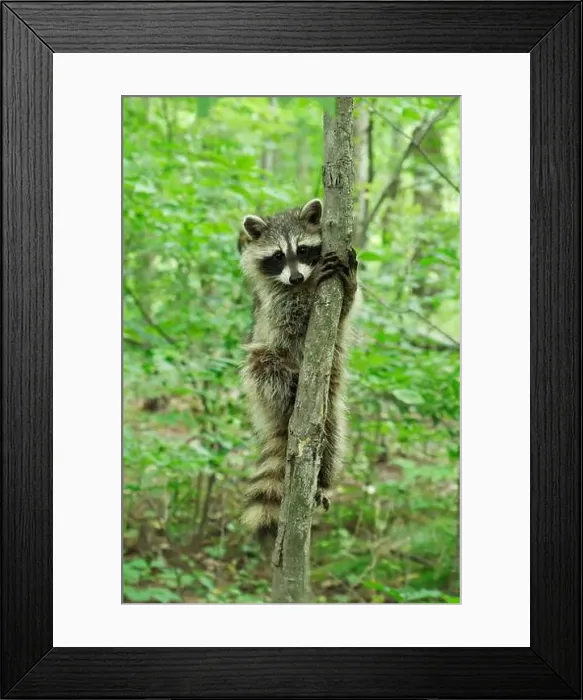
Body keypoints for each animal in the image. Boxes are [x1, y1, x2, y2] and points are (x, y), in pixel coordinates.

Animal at [239, 198, 358, 540]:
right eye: (278, 256)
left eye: (303, 250)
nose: (296, 280)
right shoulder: (273, 302)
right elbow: (288, 322)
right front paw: (312, 284)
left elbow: (344, 310)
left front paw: (349, 284)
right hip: (266, 371)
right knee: (263, 364)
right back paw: (287, 393)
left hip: (330, 398)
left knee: (332, 436)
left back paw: (323, 481)